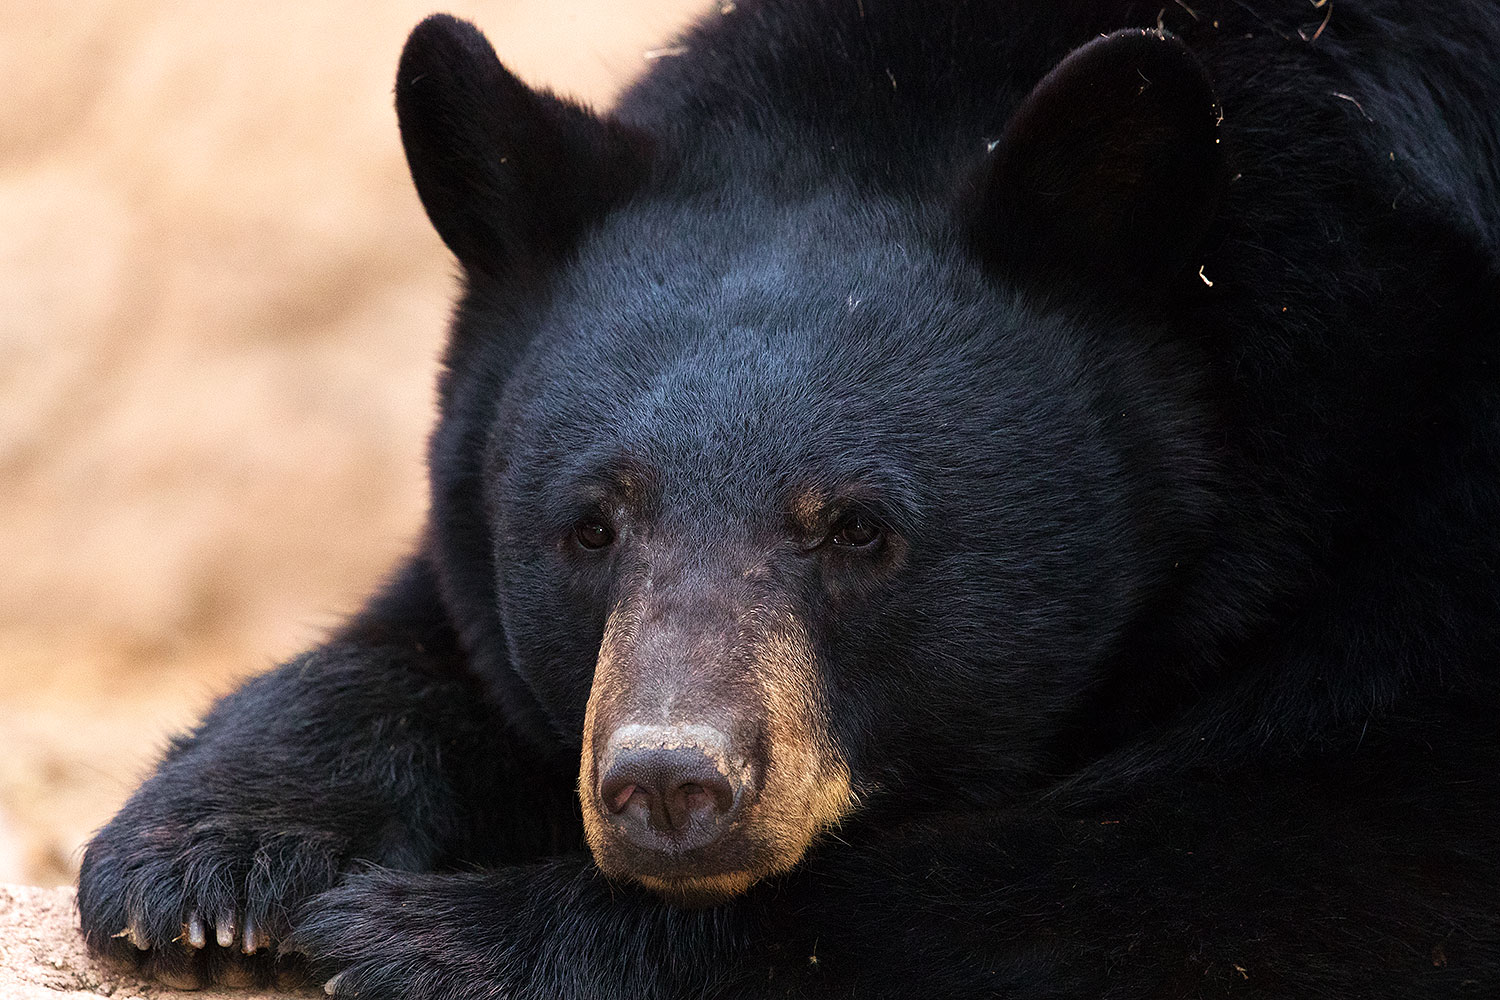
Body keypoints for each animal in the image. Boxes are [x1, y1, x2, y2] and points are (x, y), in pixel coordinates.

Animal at [77, 1, 1500, 997]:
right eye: (590, 526)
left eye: (860, 530)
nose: (667, 783)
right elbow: (429, 636)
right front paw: (207, 862)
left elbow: (1306, 863)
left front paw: (438, 936)